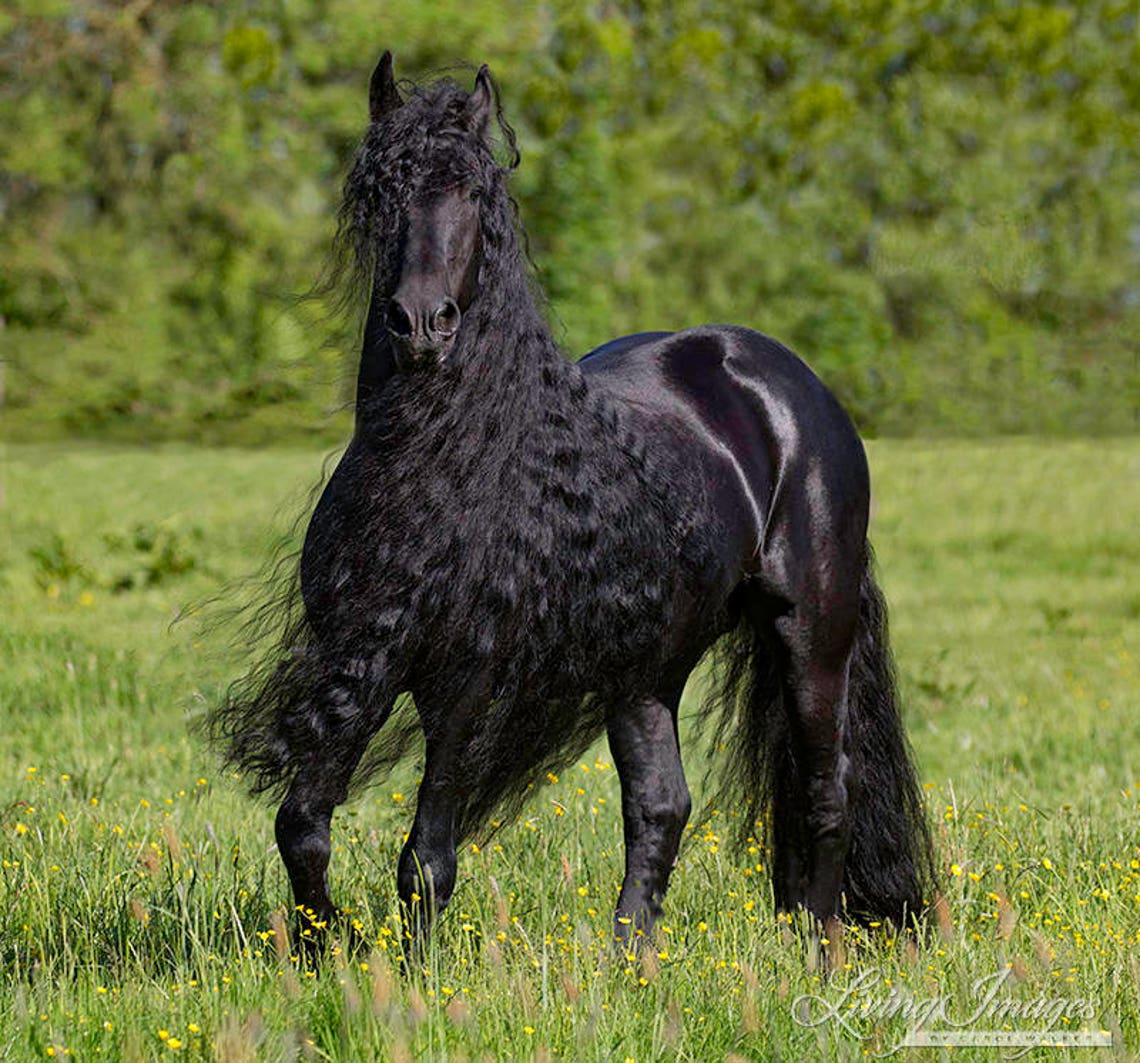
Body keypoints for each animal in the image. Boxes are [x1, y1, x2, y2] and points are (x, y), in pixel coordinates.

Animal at [209, 53, 933, 961]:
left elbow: (427, 857)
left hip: (811, 628)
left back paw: (820, 951)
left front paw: (405, 977)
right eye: (379, 190)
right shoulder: (361, 658)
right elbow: (302, 825)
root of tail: (790, 385)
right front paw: (324, 952)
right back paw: (631, 958)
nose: (421, 324)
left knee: (825, 789)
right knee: (662, 804)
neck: (443, 462)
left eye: (475, 191)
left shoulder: (465, 681)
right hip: (651, 665)